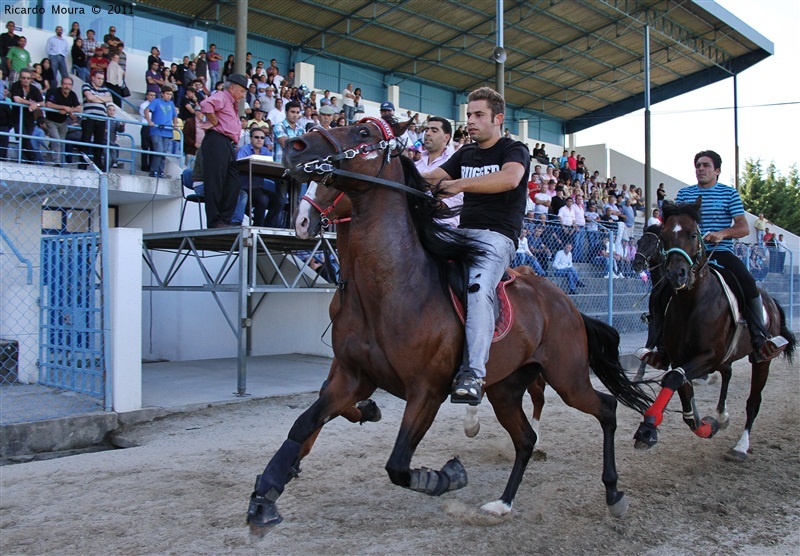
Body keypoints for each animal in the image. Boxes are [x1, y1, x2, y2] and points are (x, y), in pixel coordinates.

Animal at [247, 117, 652, 528]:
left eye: (363, 133)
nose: (293, 146)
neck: (390, 287)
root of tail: (566, 304)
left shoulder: (426, 391)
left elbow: (398, 465)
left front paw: (445, 476)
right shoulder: (351, 376)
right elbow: (303, 426)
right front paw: (265, 495)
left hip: (566, 377)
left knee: (605, 408)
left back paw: (614, 492)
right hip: (506, 388)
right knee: (525, 439)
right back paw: (503, 502)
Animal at [636, 202, 796, 458]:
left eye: (693, 234)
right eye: (664, 237)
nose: (677, 274)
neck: (692, 303)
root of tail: (770, 301)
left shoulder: (710, 354)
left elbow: (674, 378)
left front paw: (648, 427)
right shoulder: (679, 355)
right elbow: (680, 386)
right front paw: (705, 423)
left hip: (761, 360)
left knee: (753, 401)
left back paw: (741, 445)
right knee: (727, 372)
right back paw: (722, 415)